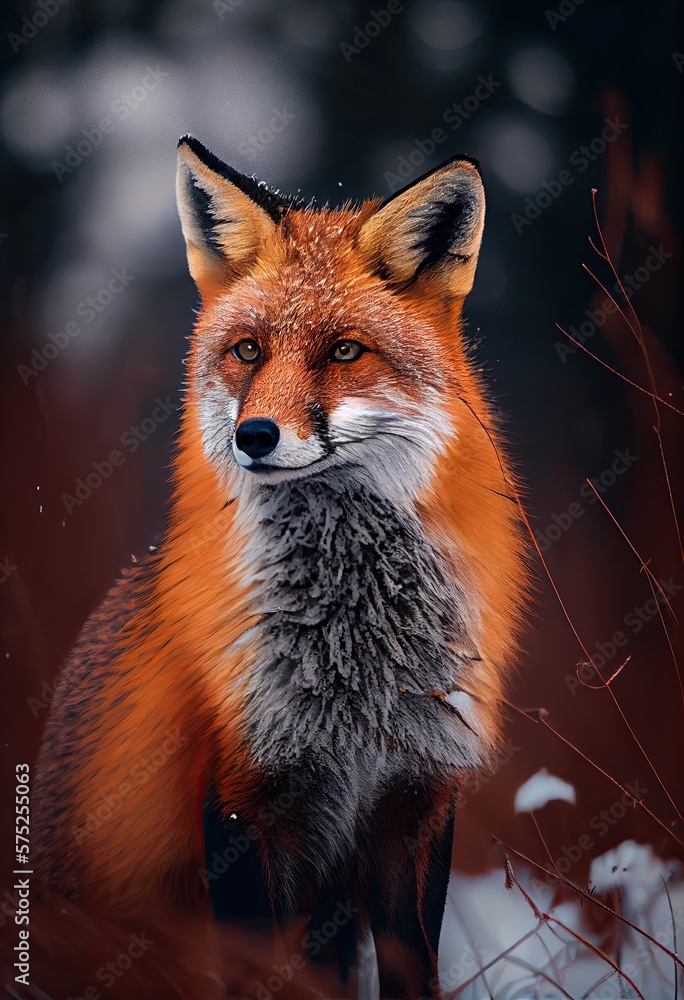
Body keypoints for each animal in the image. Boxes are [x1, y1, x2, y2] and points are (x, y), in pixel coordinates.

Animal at [32, 135, 528, 998]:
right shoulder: (238, 806)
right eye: (248, 351)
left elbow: (414, 973)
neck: (351, 671)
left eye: (344, 351)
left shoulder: (415, 801)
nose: (255, 435)